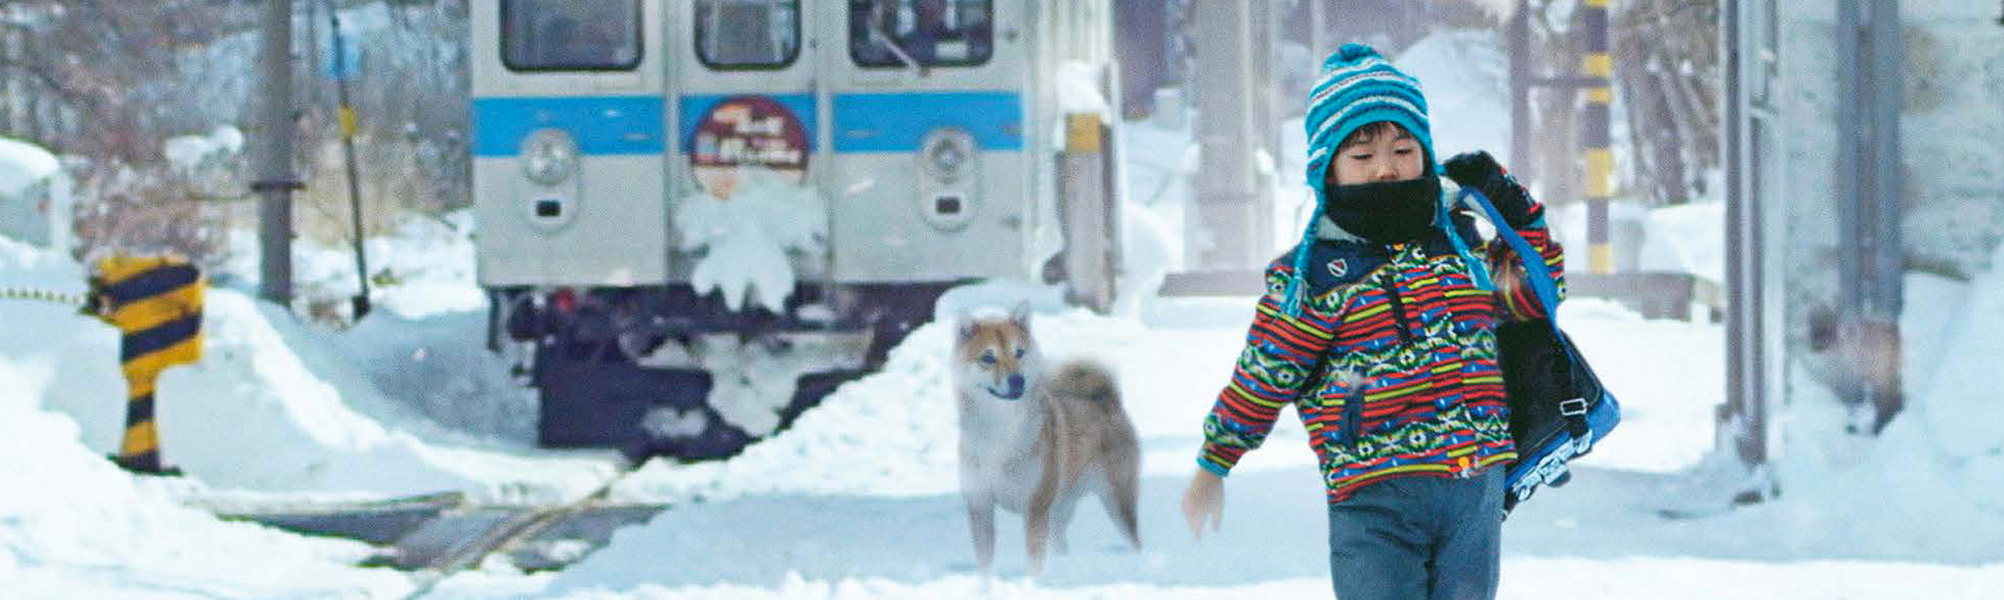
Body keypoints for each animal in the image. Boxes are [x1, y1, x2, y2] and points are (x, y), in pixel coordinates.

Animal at [952, 302, 1141, 576]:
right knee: (1060, 542)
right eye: (988, 357)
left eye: (1019, 352)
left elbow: (1033, 561)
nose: (1017, 379)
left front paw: (1031, 582)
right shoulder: (980, 504)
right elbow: (985, 562)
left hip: (1118, 499)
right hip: (1061, 508)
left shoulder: (1035, 506)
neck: (999, 433)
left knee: (1133, 538)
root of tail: (1106, 401)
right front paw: (986, 582)